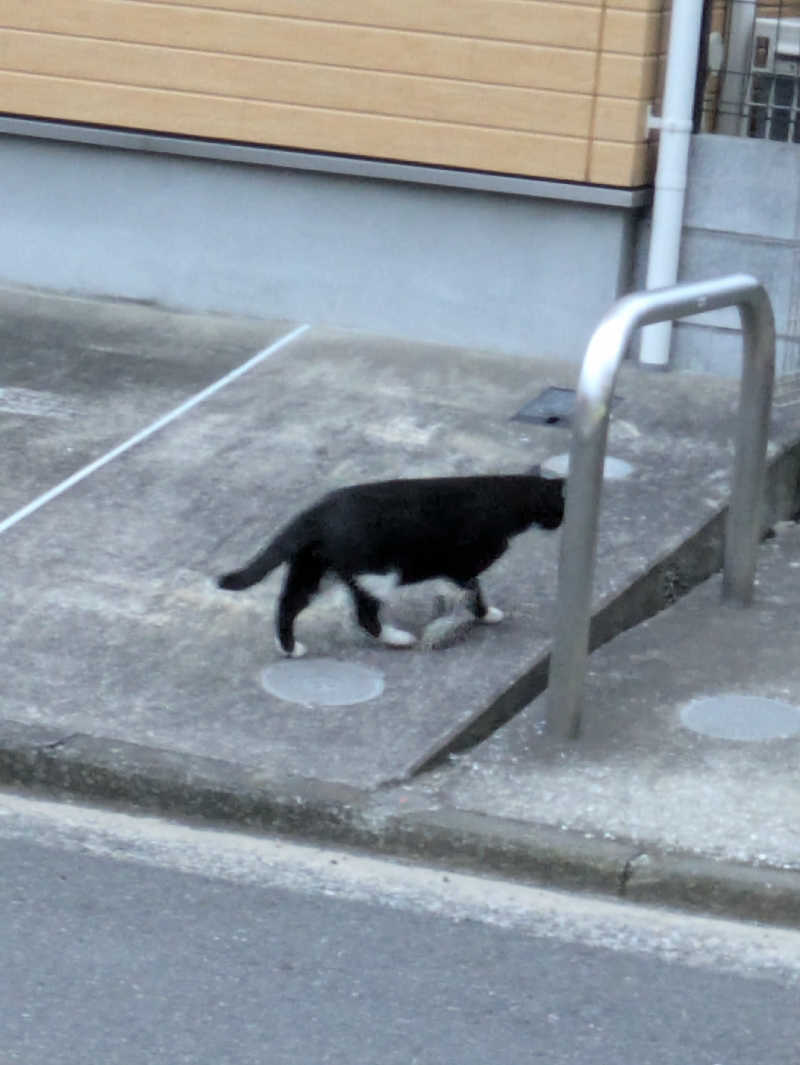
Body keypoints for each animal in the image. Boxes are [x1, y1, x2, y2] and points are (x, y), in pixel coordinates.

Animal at [219, 470, 566, 651]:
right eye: (561, 507)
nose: (562, 524)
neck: (500, 497)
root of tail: (316, 512)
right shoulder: (461, 566)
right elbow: (473, 591)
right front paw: (485, 614)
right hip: (379, 573)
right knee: (365, 615)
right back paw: (397, 638)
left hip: (315, 568)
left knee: (289, 603)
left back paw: (289, 648)